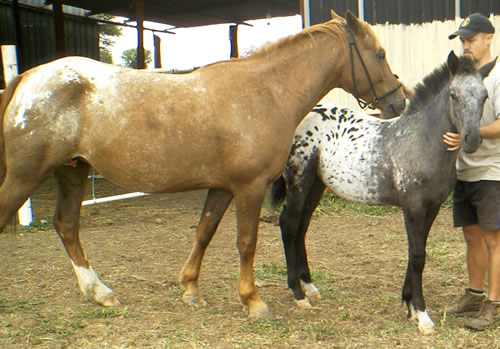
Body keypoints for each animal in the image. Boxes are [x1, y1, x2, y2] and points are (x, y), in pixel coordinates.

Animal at [0, 9, 406, 316]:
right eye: (379, 55)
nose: (398, 101)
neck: (266, 92)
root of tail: (28, 77)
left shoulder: (221, 187)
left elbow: (204, 232)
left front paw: (191, 289)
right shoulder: (249, 187)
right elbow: (246, 241)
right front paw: (252, 301)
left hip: (72, 171)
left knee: (67, 226)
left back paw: (100, 292)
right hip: (25, 176)